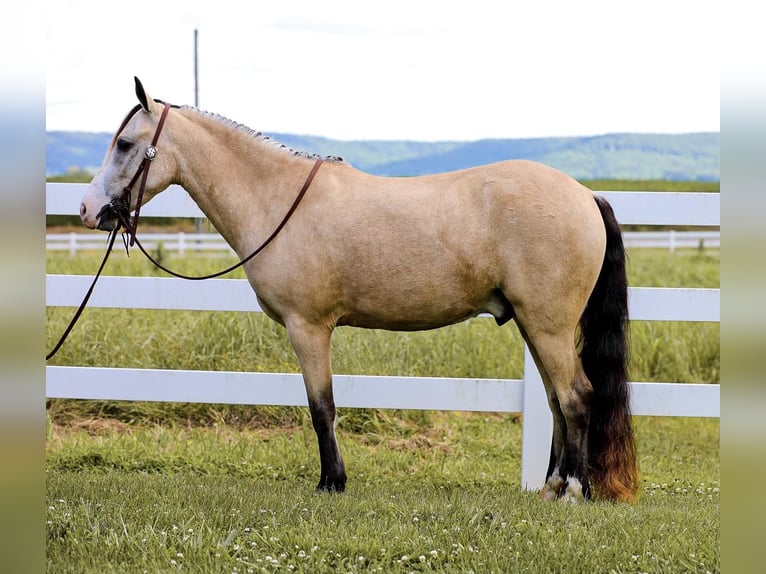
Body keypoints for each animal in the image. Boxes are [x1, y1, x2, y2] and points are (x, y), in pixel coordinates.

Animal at [80, 77, 638, 502]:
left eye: (125, 144)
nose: (88, 210)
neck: (279, 198)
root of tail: (585, 195)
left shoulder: (307, 327)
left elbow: (321, 407)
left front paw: (332, 483)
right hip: (534, 326)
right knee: (556, 402)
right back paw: (550, 488)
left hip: (548, 327)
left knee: (577, 398)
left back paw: (574, 492)